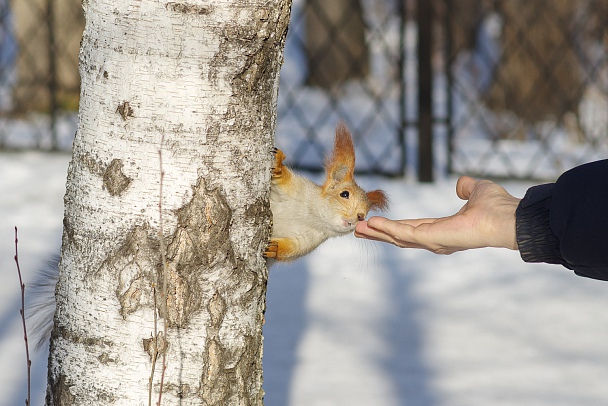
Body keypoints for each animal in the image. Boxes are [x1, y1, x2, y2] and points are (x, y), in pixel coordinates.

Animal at [266, 122, 390, 262]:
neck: (313, 218)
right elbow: (283, 179)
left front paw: (275, 248)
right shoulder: (296, 187)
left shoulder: (309, 241)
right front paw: (278, 164)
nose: (360, 216)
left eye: (366, 212)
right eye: (344, 194)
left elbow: (291, 250)